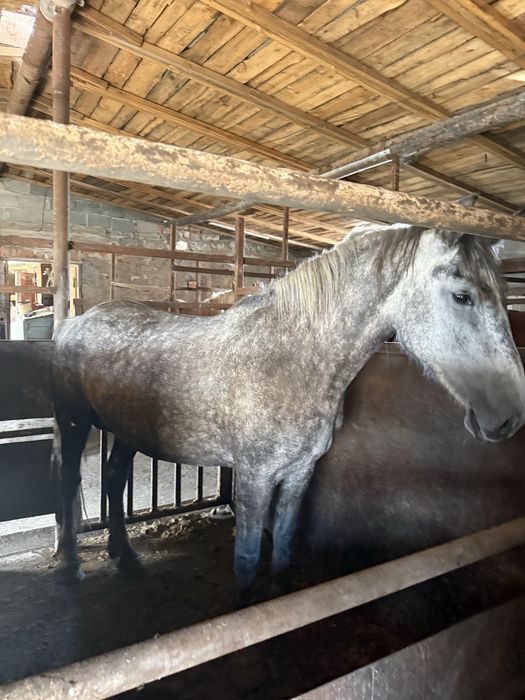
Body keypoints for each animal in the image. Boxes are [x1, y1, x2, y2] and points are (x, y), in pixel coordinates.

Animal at [51, 223, 525, 601]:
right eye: (462, 296)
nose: (511, 416)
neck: (290, 360)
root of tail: (76, 323)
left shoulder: (300, 472)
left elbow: (281, 545)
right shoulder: (255, 476)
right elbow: (246, 560)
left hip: (127, 430)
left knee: (114, 479)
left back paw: (126, 559)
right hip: (75, 424)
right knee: (71, 479)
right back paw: (71, 566)